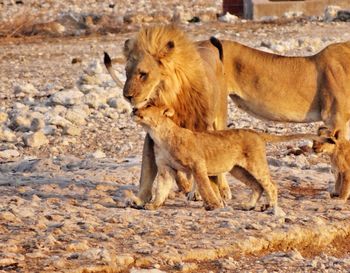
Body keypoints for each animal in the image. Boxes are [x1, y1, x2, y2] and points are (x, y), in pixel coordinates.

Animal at [104, 25, 230, 206]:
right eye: (127, 72)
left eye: (143, 74)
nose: (127, 96)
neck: (169, 97)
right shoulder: (153, 135)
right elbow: (147, 170)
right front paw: (141, 199)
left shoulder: (200, 128)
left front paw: (203, 193)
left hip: (219, 120)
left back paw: (221, 190)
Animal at [133, 105, 318, 214]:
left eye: (148, 105)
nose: (134, 109)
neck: (158, 135)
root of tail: (255, 132)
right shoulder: (165, 169)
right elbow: (161, 189)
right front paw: (153, 205)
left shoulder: (198, 165)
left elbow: (205, 187)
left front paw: (215, 205)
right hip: (238, 169)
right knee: (257, 186)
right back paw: (249, 205)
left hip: (255, 164)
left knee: (270, 184)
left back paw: (270, 207)